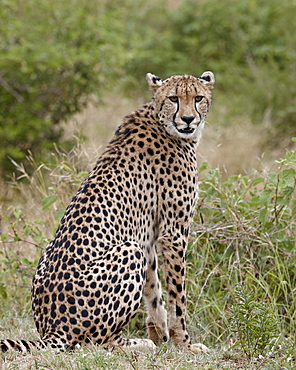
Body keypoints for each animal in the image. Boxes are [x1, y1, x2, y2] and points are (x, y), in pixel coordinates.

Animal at [0, 71, 213, 354]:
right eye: (173, 98)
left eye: (198, 98)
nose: (188, 119)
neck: (161, 120)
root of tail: (52, 330)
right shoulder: (173, 233)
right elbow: (178, 297)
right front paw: (184, 344)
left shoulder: (148, 235)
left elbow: (154, 291)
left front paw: (161, 333)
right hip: (128, 251)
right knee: (95, 342)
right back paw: (136, 344)